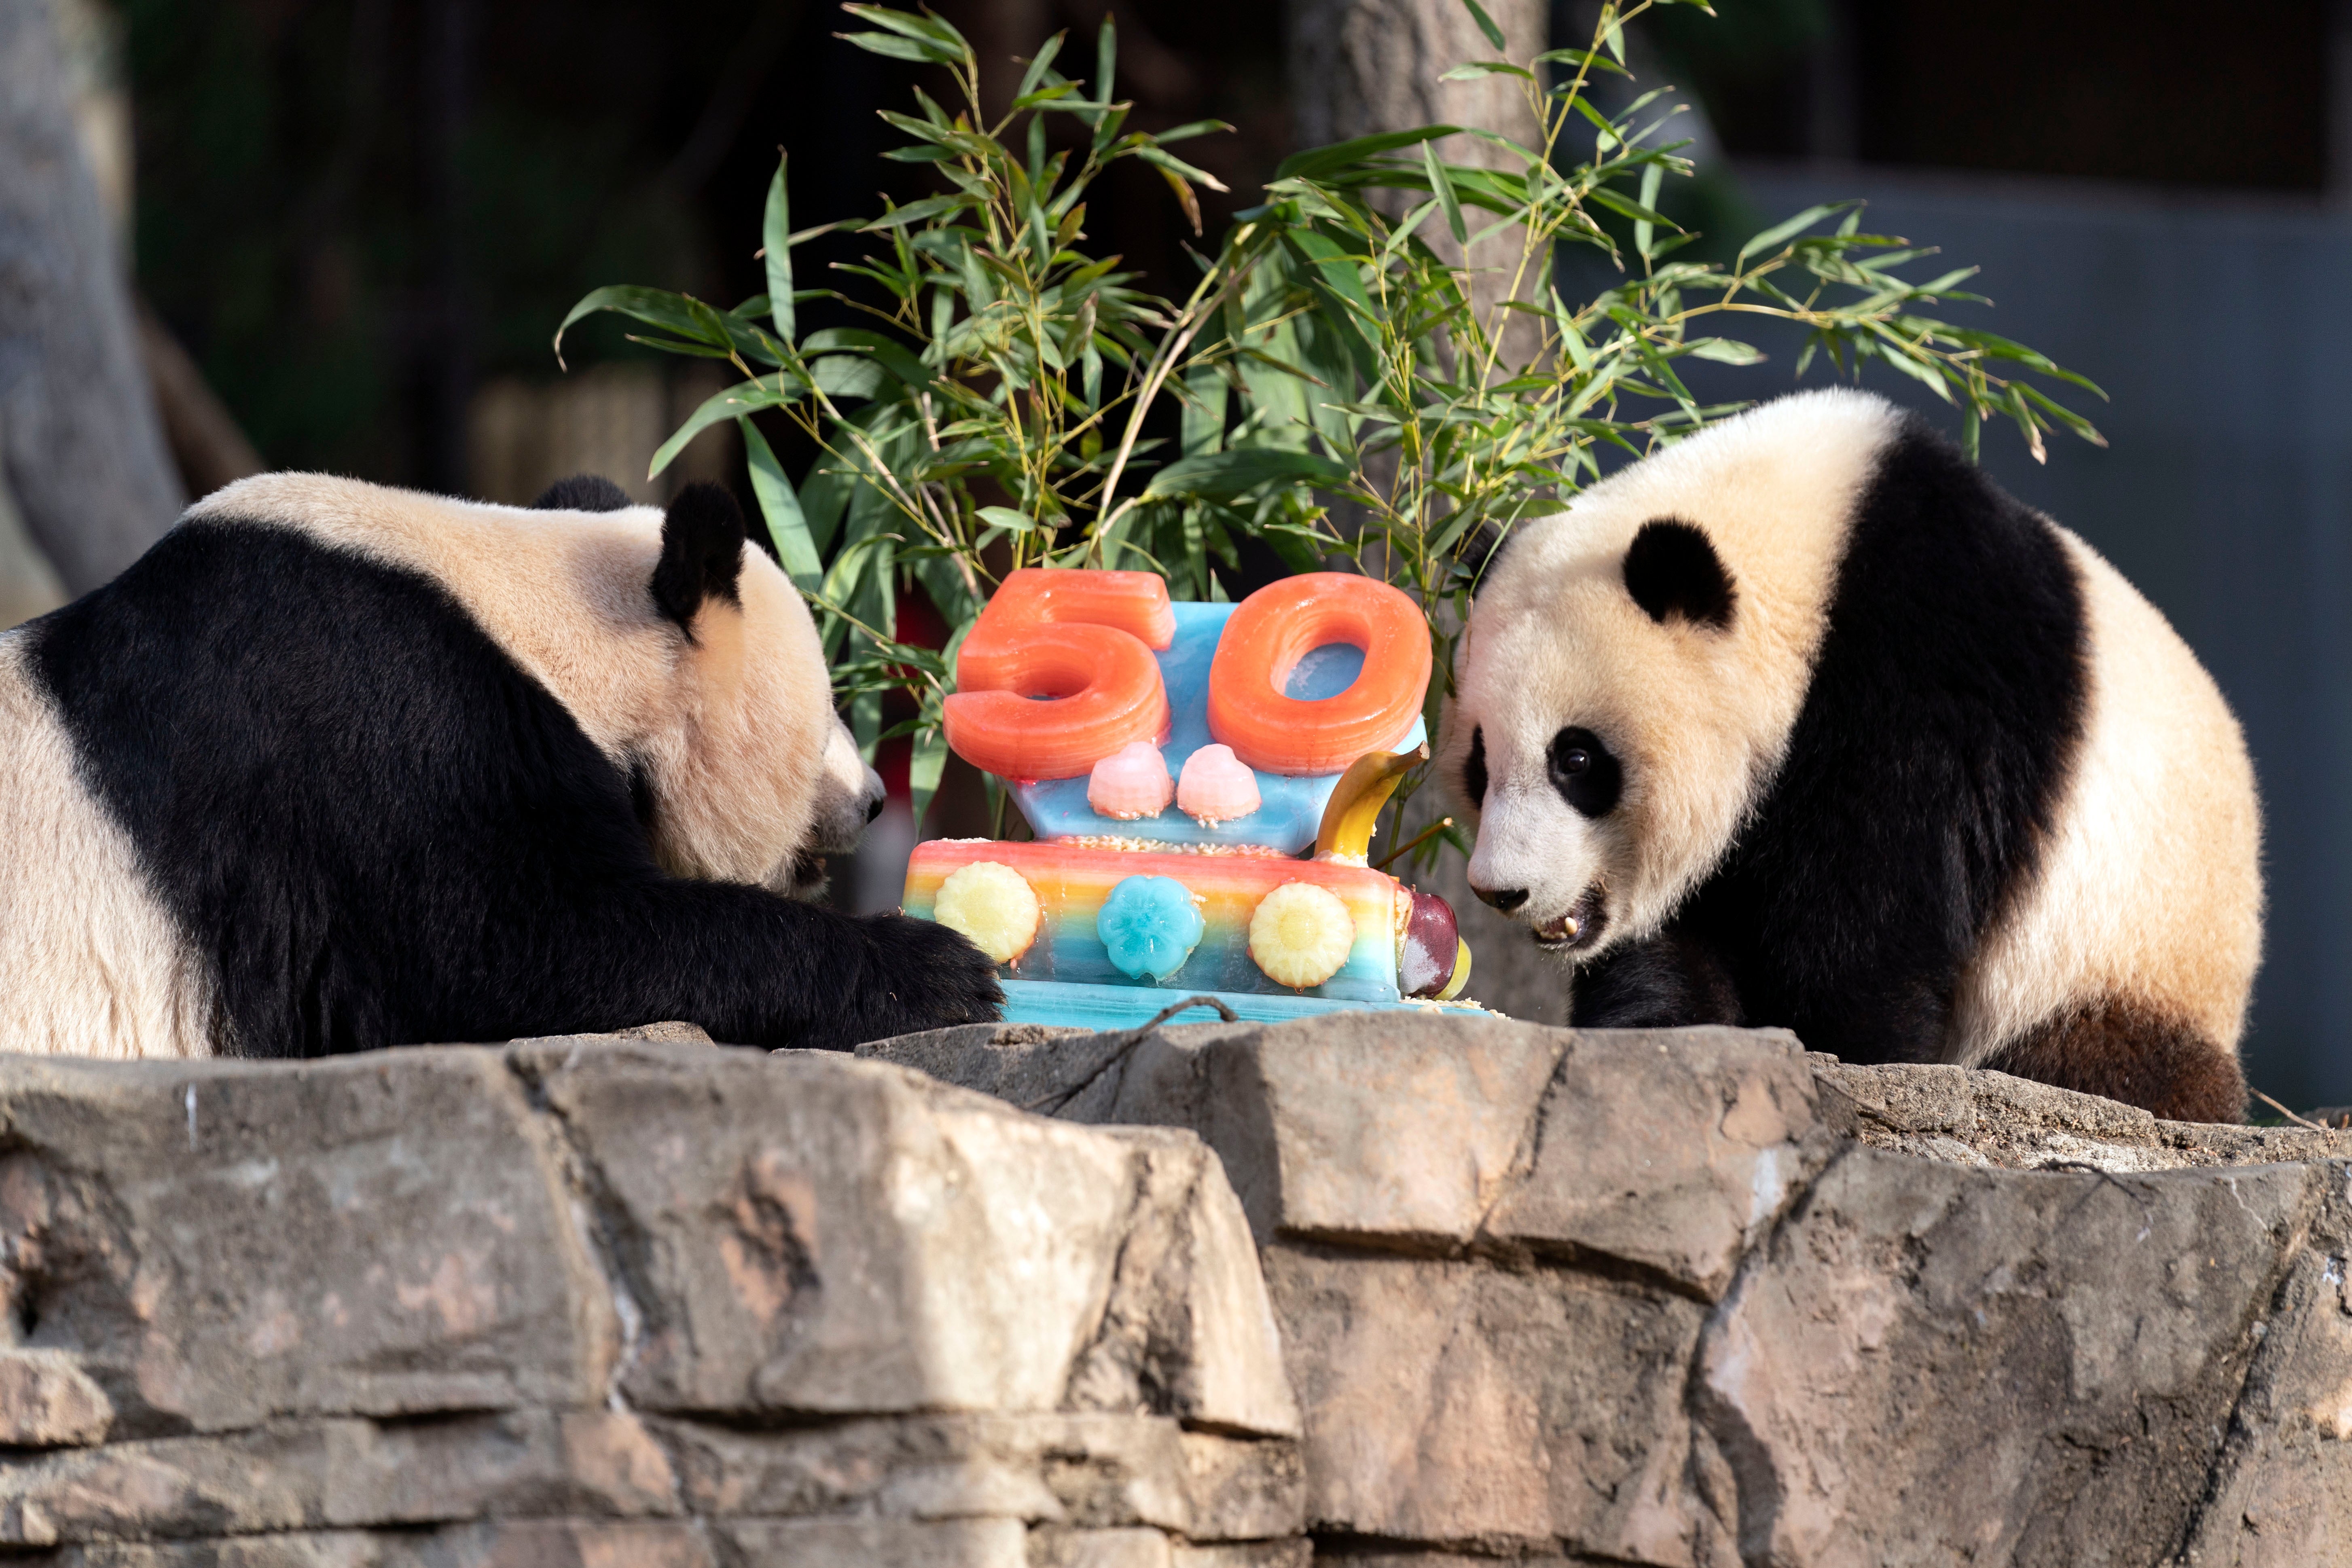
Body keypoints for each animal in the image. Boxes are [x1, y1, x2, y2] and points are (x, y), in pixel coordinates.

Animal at [1442, 388, 2261, 1124]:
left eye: (1576, 760)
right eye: (1480, 765)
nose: (1500, 890)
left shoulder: (1917, 679)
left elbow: (1870, 920)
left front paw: (1836, 1052)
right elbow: (1684, 938)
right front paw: (1667, 1035)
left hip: (2118, 956)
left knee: (2097, 1059)